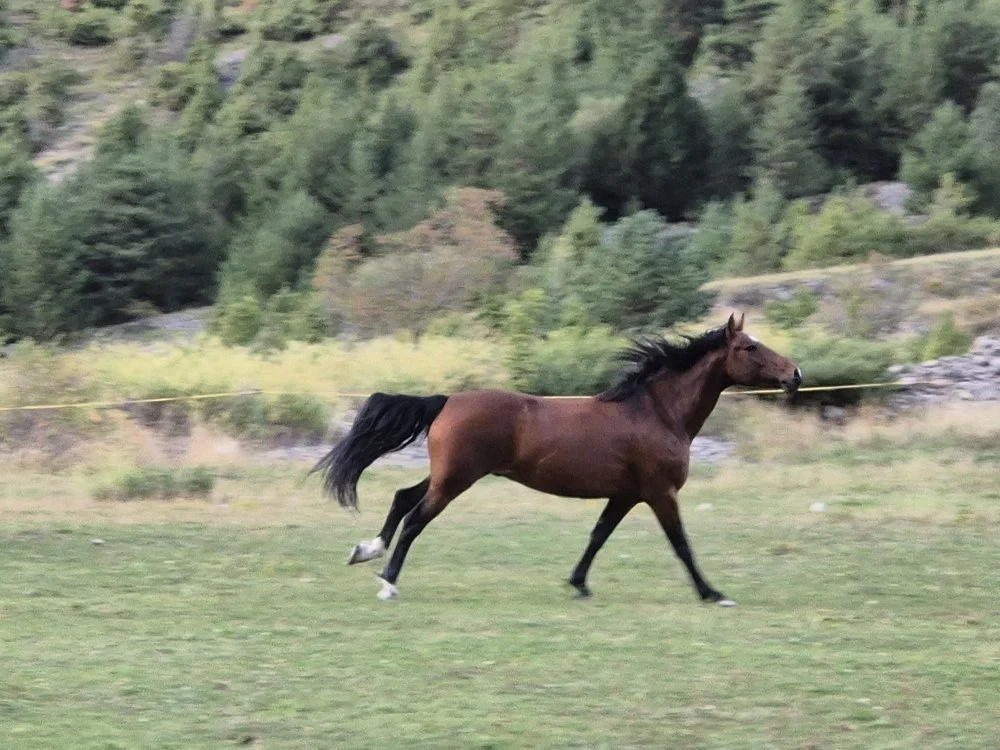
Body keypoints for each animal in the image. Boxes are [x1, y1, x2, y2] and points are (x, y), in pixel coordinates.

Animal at [311, 313, 802, 603]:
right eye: (749, 347)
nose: (795, 374)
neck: (658, 412)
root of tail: (447, 399)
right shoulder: (660, 492)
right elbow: (681, 544)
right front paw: (711, 592)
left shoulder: (626, 494)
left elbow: (598, 535)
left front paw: (579, 583)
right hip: (456, 479)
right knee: (415, 518)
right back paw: (388, 582)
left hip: (447, 475)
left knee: (401, 497)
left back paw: (366, 551)